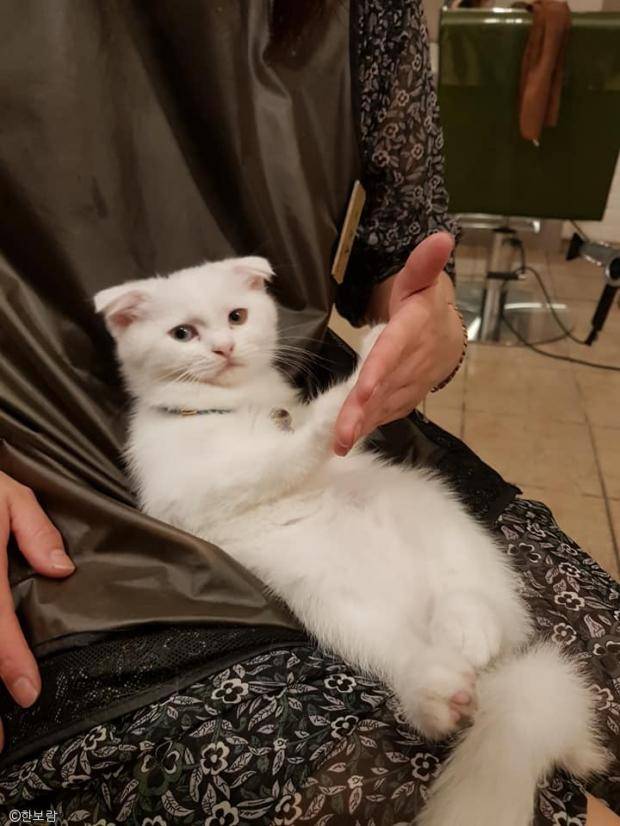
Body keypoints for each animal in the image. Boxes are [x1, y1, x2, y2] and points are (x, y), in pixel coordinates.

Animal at [95, 256, 606, 826]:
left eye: (236, 316)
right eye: (181, 333)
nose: (224, 349)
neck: (230, 408)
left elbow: (330, 434)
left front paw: (375, 362)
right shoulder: (206, 490)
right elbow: (289, 452)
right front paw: (344, 397)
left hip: (428, 509)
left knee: (473, 592)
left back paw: (467, 625)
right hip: (341, 610)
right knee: (406, 652)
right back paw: (437, 690)